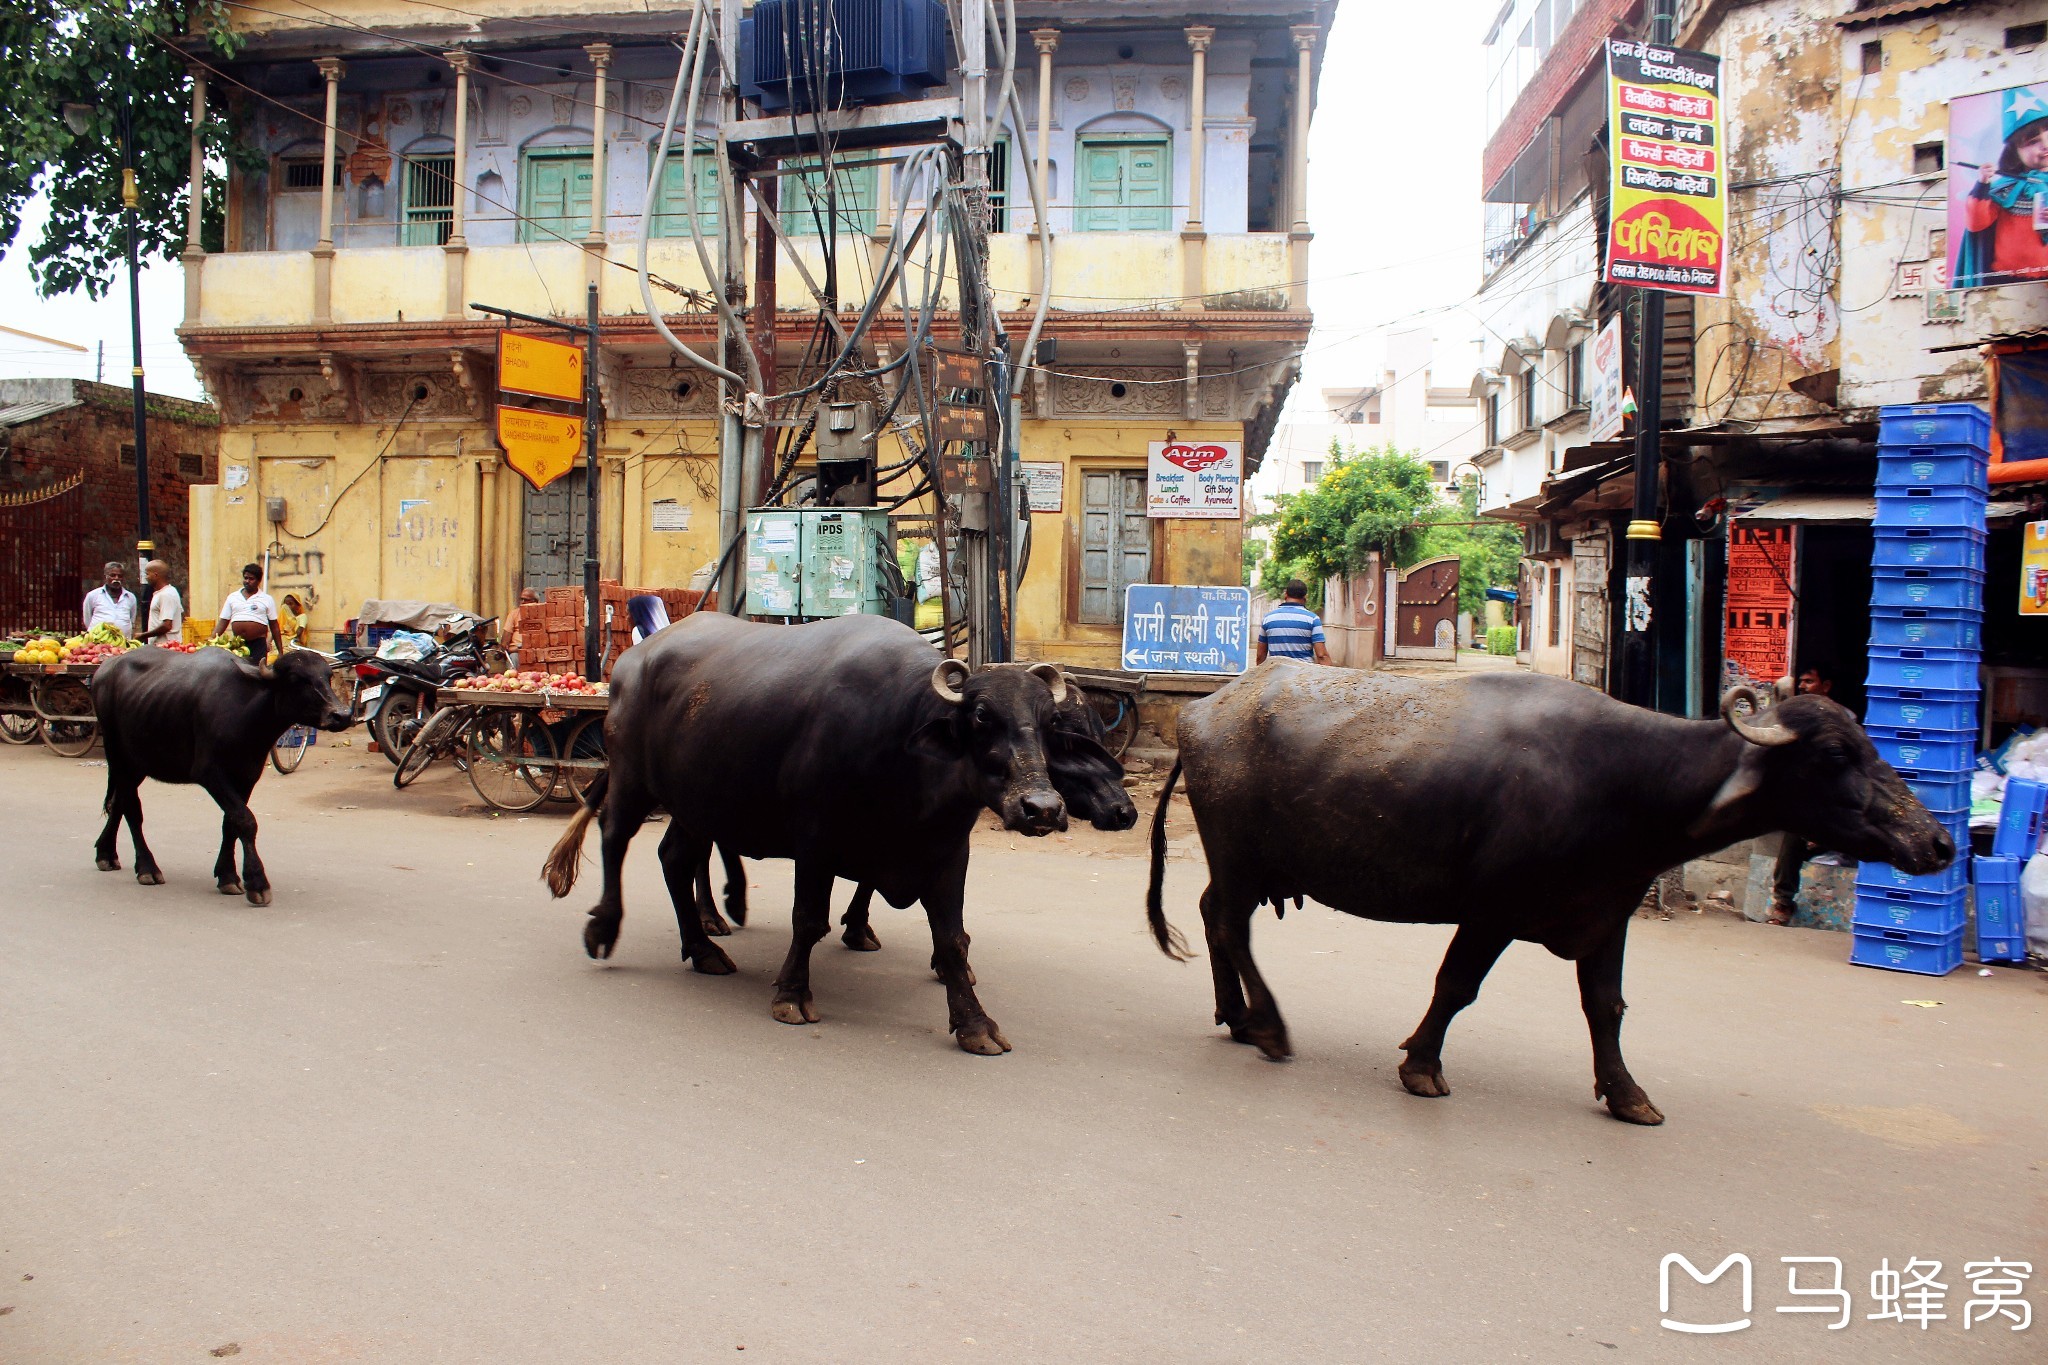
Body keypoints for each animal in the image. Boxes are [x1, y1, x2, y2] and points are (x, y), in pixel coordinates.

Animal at [89, 650, 356, 908]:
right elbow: (245, 820)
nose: (341, 715)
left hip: (137, 764)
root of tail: (105, 668)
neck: (249, 716)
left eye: (327, 677)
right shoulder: (210, 772)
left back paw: (106, 854)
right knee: (132, 810)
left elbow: (231, 823)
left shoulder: (247, 776)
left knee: (118, 803)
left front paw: (227, 876)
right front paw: (256, 882)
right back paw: (147, 868)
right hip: (119, 756)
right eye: (296, 679)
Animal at [552, 613, 1073, 1055]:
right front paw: (791, 994)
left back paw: (703, 949)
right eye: (982, 714)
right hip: (632, 778)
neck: (901, 743)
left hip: (694, 804)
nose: (1042, 809)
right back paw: (605, 927)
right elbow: (807, 921)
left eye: (1049, 720)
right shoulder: (816, 842)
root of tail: (633, 662)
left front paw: (975, 1023)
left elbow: (952, 938)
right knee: (614, 836)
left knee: (675, 858)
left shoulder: (946, 855)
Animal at [1146, 667, 1957, 1129]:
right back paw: (1268, 1026)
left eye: (1870, 744)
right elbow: (1456, 986)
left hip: (1242, 865)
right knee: (1229, 925)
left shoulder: (1607, 913)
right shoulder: (1492, 910)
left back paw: (1239, 1018)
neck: (1628, 780)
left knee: (1215, 921)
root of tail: (1206, 710)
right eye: (1835, 754)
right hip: (1242, 858)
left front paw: (1628, 1094)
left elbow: (1607, 1006)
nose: (1939, 843)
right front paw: (1421, 1066)